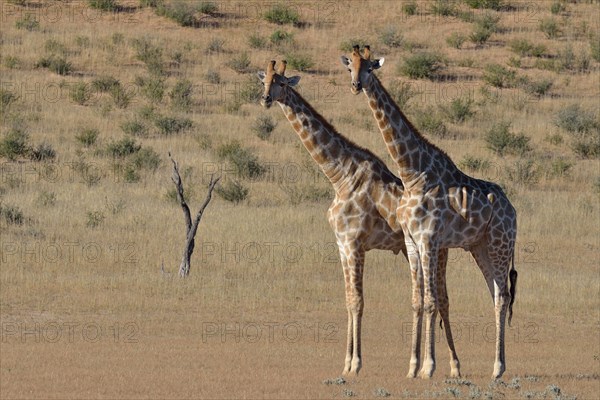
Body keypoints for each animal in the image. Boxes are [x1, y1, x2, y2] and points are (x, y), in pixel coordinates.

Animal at [255, 59, 458, 376]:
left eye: (282, 82)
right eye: (263, 80)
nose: (265, 99)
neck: (340, 175)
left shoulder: (354, 244)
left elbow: (359, 302)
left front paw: (356, 363)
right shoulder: (341, 245)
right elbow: (349, 301)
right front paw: (346, 362)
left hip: (439, 250)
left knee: (443, 299)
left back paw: (450, 367)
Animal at [340, 45, 516, 380]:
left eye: (370, 67)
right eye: (350, 67)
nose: (355, 85)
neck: (412, 173)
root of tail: (513, 209)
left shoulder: (429, 240)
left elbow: (432, 301)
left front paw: (429, 367)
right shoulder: (411, 241)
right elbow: (417, 301)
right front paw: (412, 366)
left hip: (500, 244)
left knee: (502, 297)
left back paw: (500, 367)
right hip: (480, 247)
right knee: (496, 294)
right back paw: (496, 366)